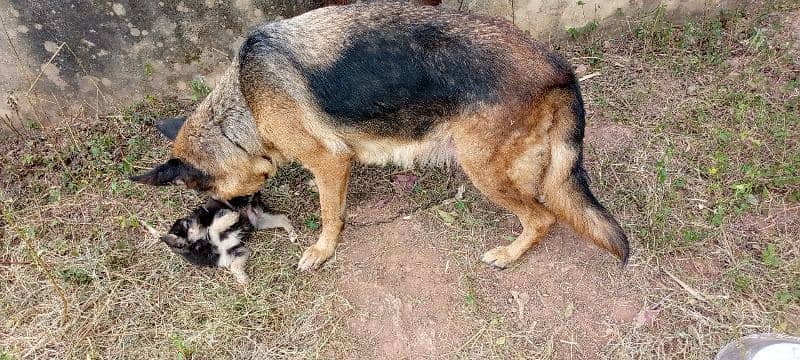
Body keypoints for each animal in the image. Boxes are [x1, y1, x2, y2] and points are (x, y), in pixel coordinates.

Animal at [133, 2, 632, 270]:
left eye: (216, 199)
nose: (241, 219)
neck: (243, 106)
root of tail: (560, 70)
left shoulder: (330, 161)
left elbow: (329, 213)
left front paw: (322, 249)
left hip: (482, 169)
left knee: (543, 217)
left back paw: (509, 254)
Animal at [161, 194, 296, 284]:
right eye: (187, 224)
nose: (199, 210)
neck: (205, 244)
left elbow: (214, 227)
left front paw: (232, 217)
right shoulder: (237, 252)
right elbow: (234, 267)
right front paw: (243, 279)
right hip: (259, 221)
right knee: (282, 218)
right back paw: (292, 234)